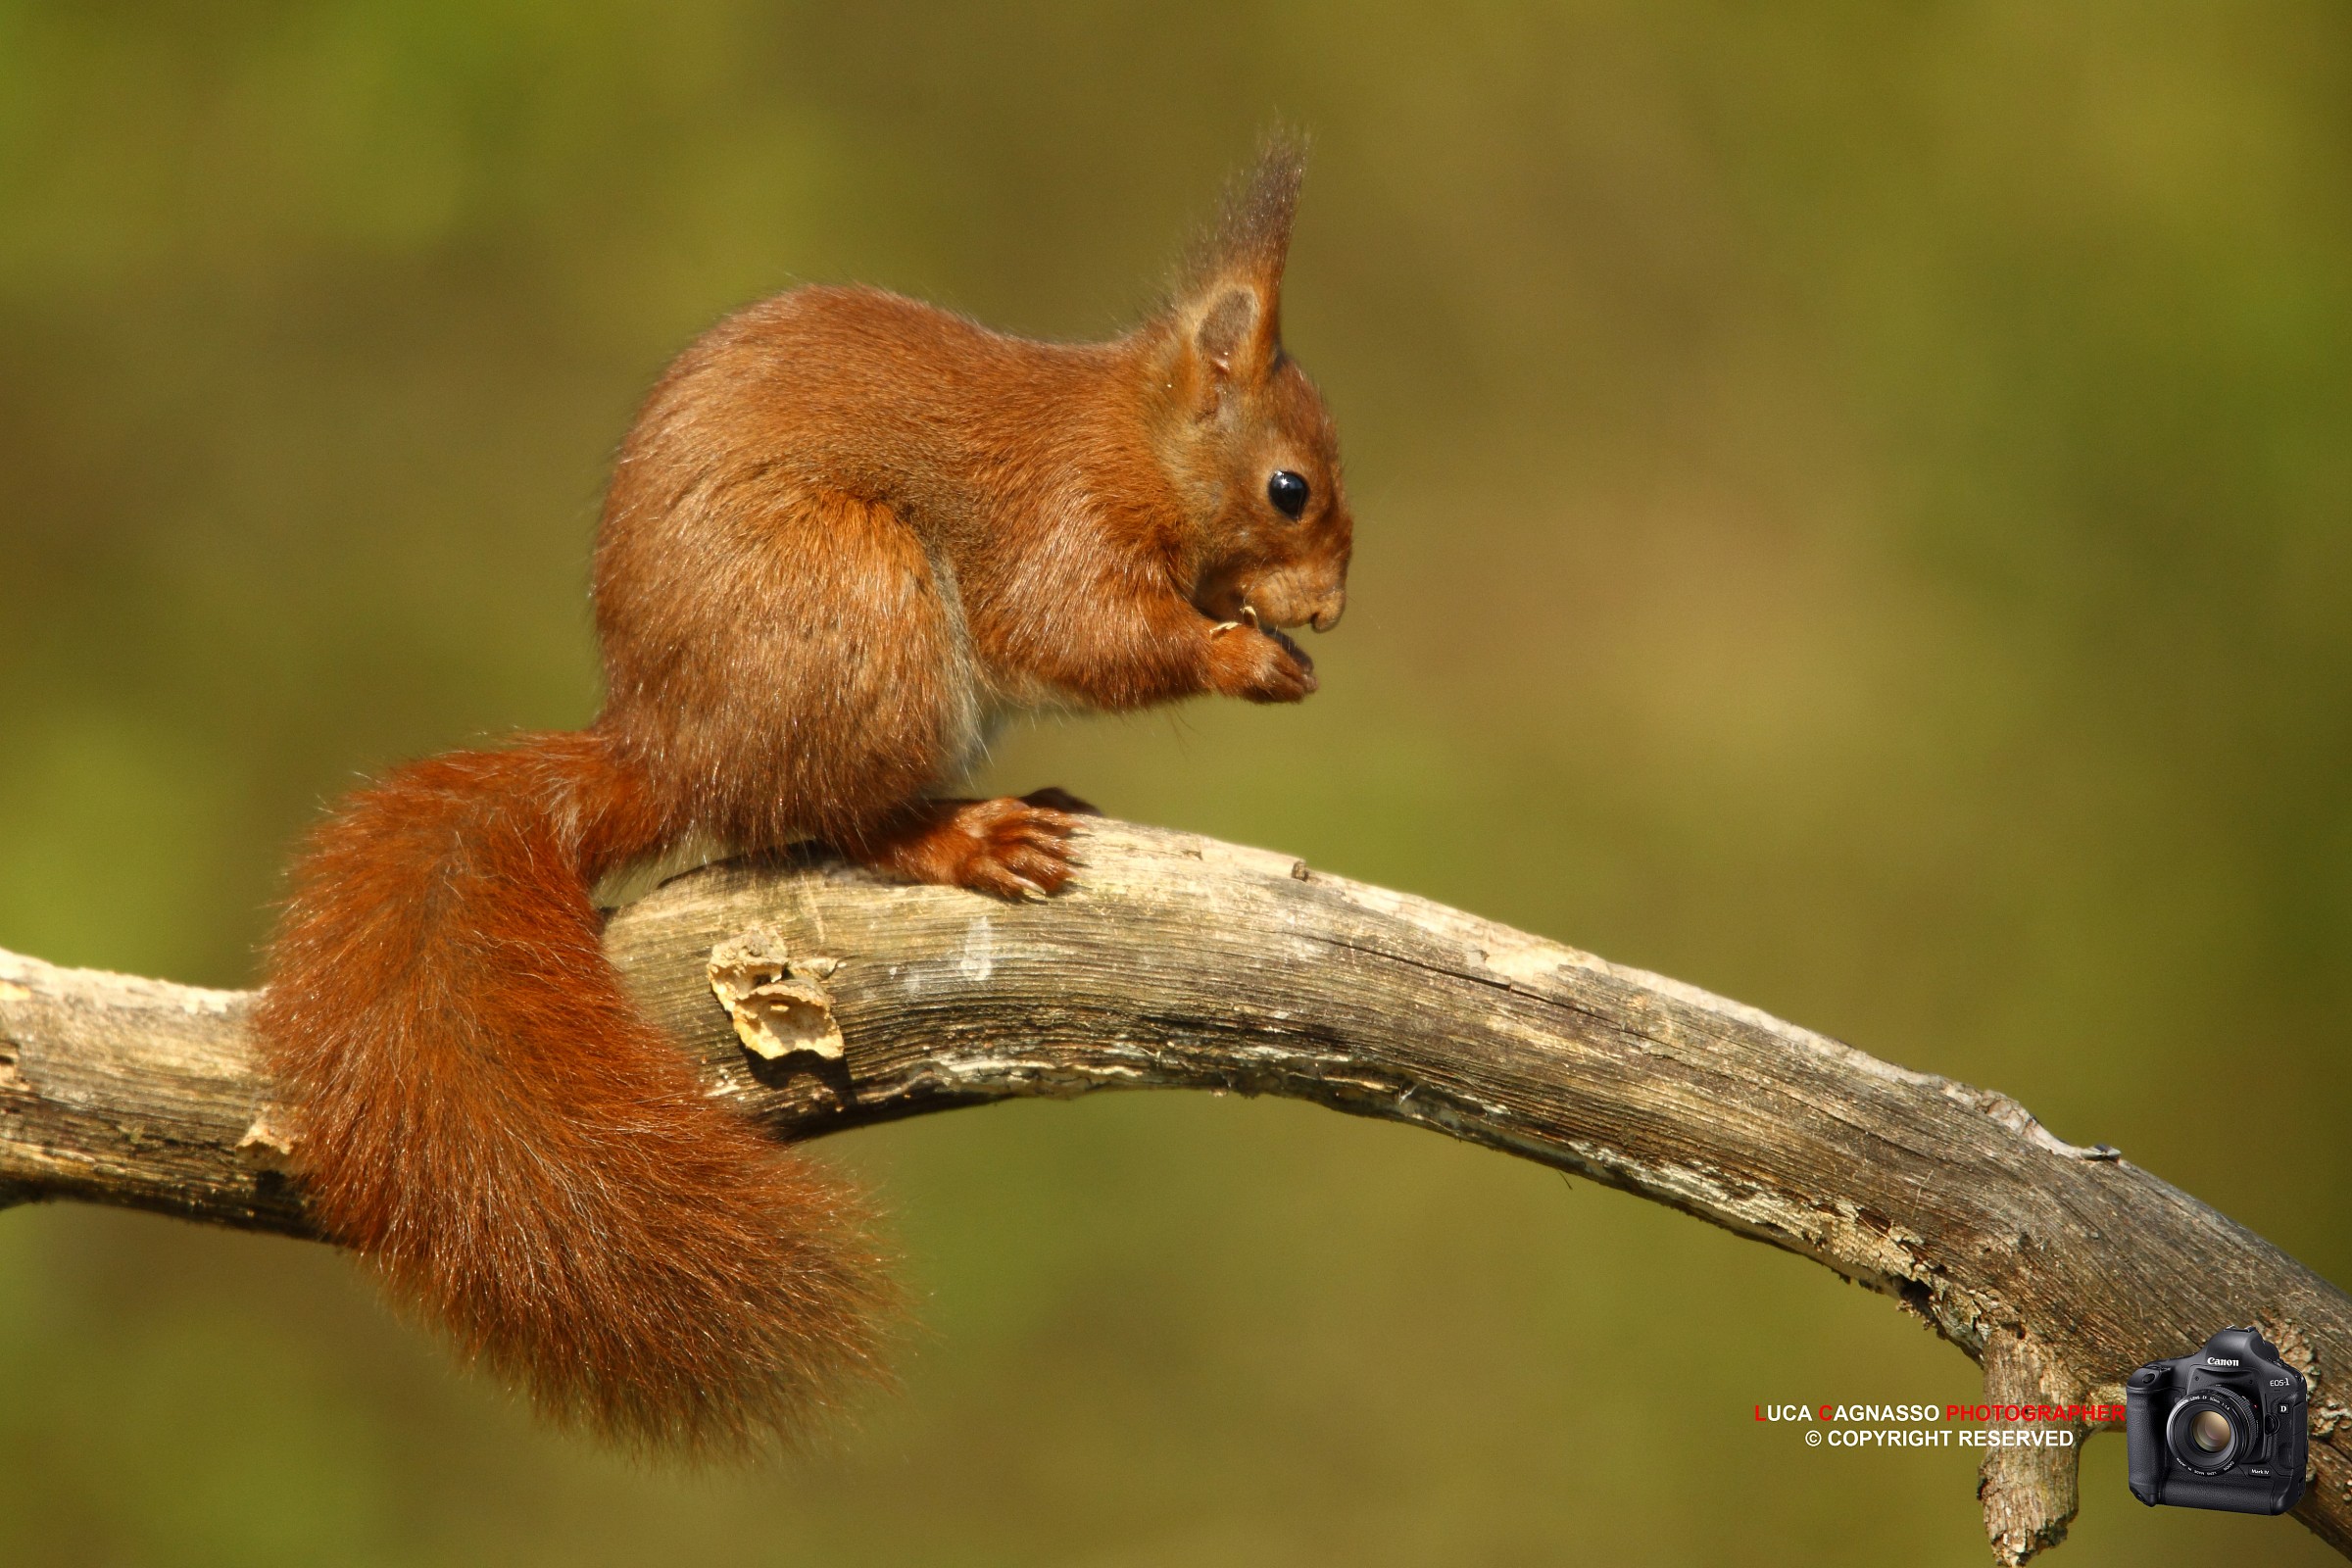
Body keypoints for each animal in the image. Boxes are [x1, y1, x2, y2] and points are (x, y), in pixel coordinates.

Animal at [252, 136, 1351, 1454]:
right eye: (1290, 488)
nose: (1332, 609)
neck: (1132, 436)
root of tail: (669, 747)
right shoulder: (1061, 524)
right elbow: (1077, 632)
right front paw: (1241, 656)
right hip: (863, 612)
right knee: (844, 817)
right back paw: (966, 834)